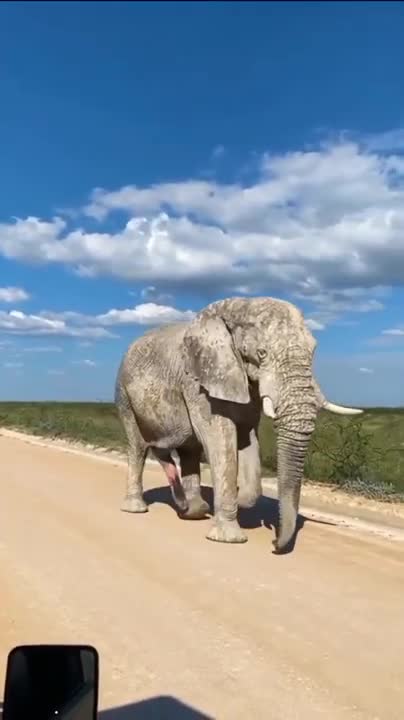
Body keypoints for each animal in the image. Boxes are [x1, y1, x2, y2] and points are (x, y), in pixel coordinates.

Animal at [115, 297, 362, 552]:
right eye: (261, 353)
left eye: (313, 351)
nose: (274, 543)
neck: (237, 307)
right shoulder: (197, 382)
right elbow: (219, 437)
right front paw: (229, 538)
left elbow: (246, 437)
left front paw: (242, 499)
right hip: (124, 395)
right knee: (138, 447)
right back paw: (138, 508)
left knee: (188, 450)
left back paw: (193, 511)